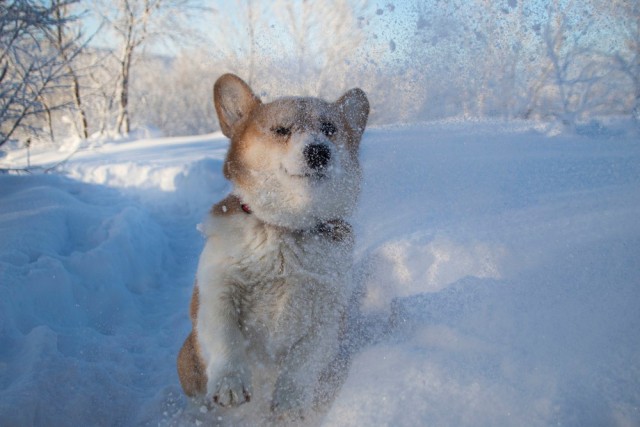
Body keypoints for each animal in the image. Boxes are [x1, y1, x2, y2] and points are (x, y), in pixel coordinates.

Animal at [176, 74, 370, 422]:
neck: (287, 228)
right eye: (281, 130)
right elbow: (226, 337)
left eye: (330, 129)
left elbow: (304, 360)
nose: (319, 152)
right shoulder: (218, 293)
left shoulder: (328, 315)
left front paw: (290, 401)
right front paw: (230, 384)